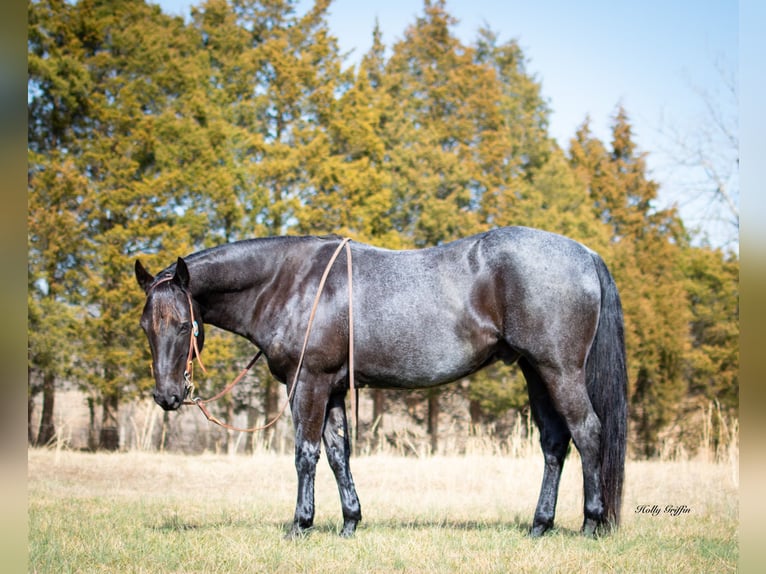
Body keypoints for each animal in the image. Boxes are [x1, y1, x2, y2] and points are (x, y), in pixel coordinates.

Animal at [135, 227, 632, 544]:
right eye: (145, 326)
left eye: (184, 324)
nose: (167, 396)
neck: (290, 282)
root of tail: (585, 254)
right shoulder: (333, 388)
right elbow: (339, 453)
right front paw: (349, 523)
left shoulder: (308, 383)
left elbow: (305, 454)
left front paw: (300, 524)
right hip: (535, 371)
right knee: (554, 443)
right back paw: (539, 526)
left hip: (559, 370)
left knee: (588, 433)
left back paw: (591, 524)